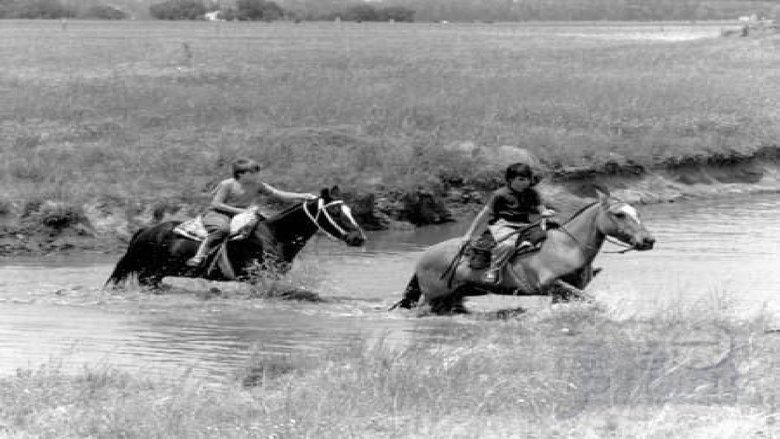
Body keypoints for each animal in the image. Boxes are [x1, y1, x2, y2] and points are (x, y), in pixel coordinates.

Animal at [104, 187, 368, 290]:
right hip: (149, 274)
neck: (275, 235)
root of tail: (144, 231)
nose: (359, 238)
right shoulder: (258, 278)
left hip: (154, 275)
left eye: (349, 210)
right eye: (336, 212)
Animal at [390, 187, 652, 314]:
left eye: (637, 213)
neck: (569, 246)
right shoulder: (551, 284)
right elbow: (594, 300)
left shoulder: (564, 292)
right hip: (432, 298)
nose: (648, 240)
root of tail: (422, 258)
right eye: (619, 214)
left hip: (453, 297)